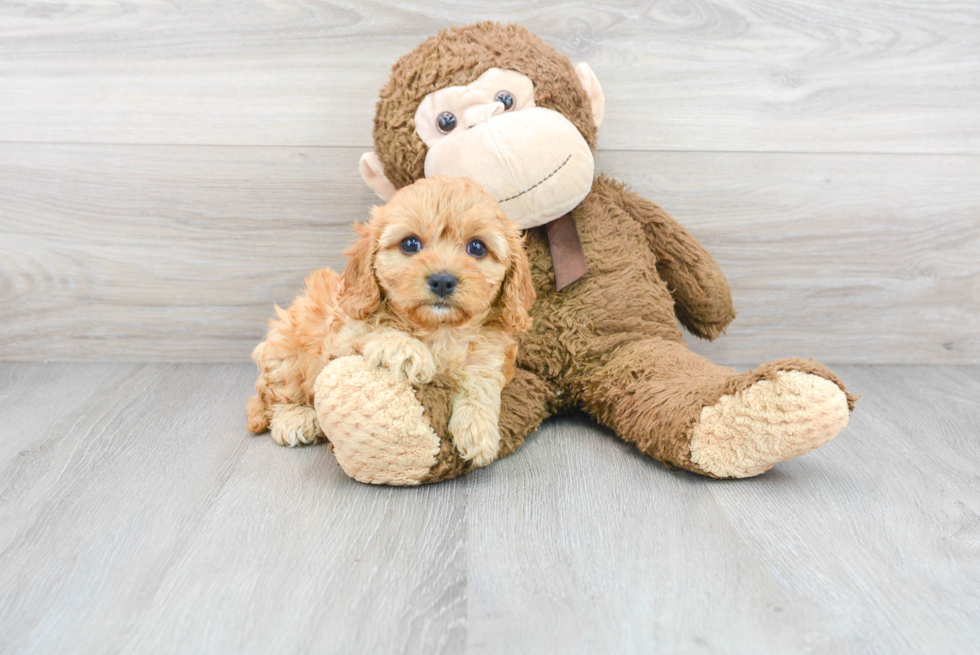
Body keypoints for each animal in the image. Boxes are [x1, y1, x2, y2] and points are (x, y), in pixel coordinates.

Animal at [247, 177, 536, 468]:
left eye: (477, 247)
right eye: (410, 244)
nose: (443, 280)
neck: (439, 329)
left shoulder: (490, 353)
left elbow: (482, 379)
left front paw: (478, 429)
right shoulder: (340, 336)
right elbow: (373, 329)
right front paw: (405, 349)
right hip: (287, 353)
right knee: (275, 396)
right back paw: (295, 419)